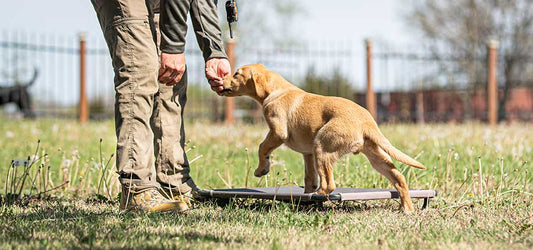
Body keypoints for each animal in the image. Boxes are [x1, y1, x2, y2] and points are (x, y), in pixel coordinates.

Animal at [219, 63, 424, 211]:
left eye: (236, 74)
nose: (221, 80)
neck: (277, 90)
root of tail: (366, 122)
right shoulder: (308, 153)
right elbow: (309, 177)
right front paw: (306, 195)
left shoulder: (277, 132)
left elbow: (262, 148)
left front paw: (262, 169)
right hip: (373, 154)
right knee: (398, 176)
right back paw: (406, 208)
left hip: (322, 146)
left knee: (330, 184)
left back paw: (321, 192)